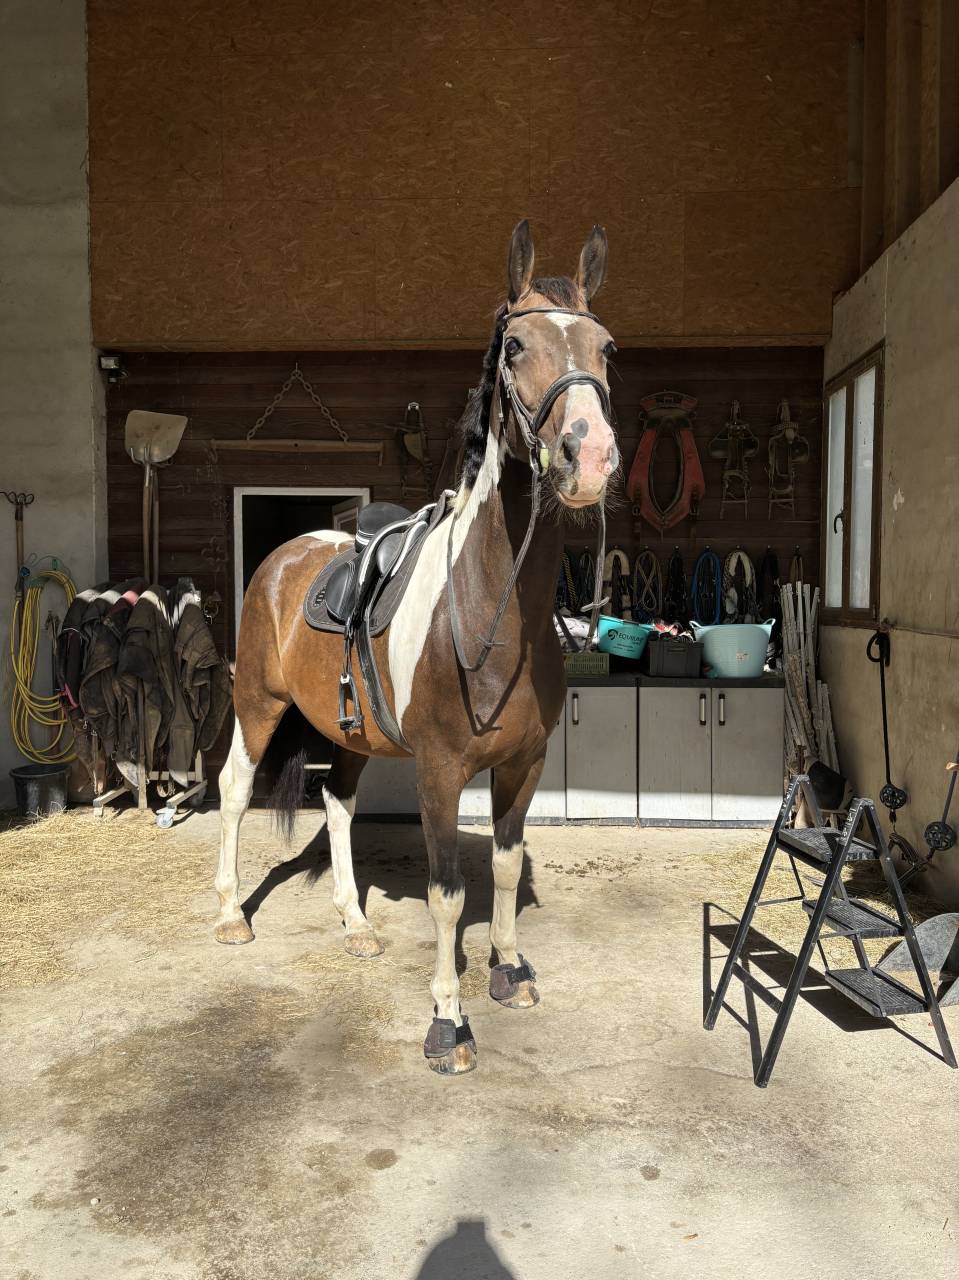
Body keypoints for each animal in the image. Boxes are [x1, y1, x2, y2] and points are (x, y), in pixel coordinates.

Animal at [214, 219, 618, 1074]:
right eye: (515, 345)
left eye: (605, 347)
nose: (589, 456)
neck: (492, 605)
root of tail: (286, 556)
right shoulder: (440, 771)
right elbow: (447, 894)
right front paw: (447, 1022)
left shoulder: (523, 765)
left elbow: (502, 866)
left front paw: (508, 973)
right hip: (257, 704)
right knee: (233, 788)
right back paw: (230, 914)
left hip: (346, 732)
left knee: (337, 804)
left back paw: (355, 924)